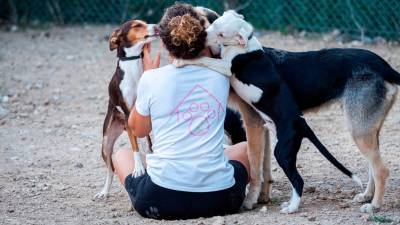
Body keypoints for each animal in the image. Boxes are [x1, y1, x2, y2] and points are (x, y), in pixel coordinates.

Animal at [94, 19, 159, 199]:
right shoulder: (129, 112)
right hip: (106, 145)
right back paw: (104, 192)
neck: (133, 66)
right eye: (137, 25)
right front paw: (138, 169)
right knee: (110, 171)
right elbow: (134, 148)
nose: (158, 26)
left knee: (146, 146)